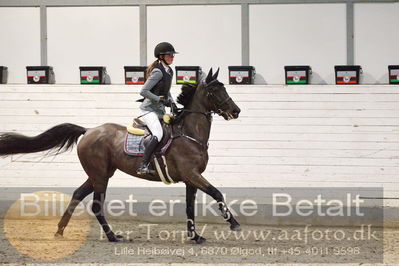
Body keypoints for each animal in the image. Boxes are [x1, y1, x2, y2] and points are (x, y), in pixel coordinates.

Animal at [0, 68, 241, 243]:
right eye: (215, 92)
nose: (236, 111)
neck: (189, 133)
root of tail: (88, 130)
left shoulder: (190, 179)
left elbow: (190, 207)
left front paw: (195, 236)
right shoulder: (192, 175)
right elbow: (216, 193)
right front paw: (234, 224)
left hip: (100, 173)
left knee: (78, 194)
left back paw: (60, 230)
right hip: (100, 176)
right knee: (96, 205)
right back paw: (111, 236)